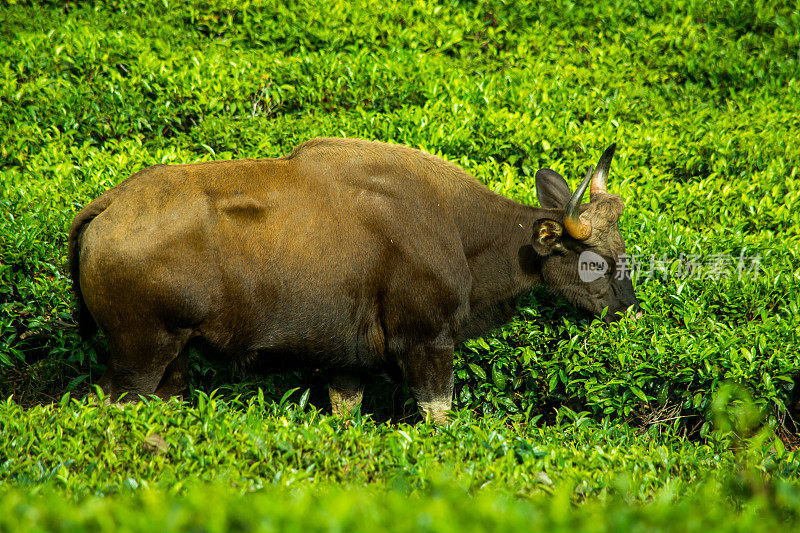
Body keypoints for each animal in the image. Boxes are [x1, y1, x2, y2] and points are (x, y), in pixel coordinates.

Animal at [70, 138, 644, 424]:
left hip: (173, 358)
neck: (460, 232)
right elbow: (440, 420)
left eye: (623, 250)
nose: (629, 309)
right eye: (595, 259)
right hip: (140, 354)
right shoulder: (427, 344)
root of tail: (107, 208)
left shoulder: (346, 363)